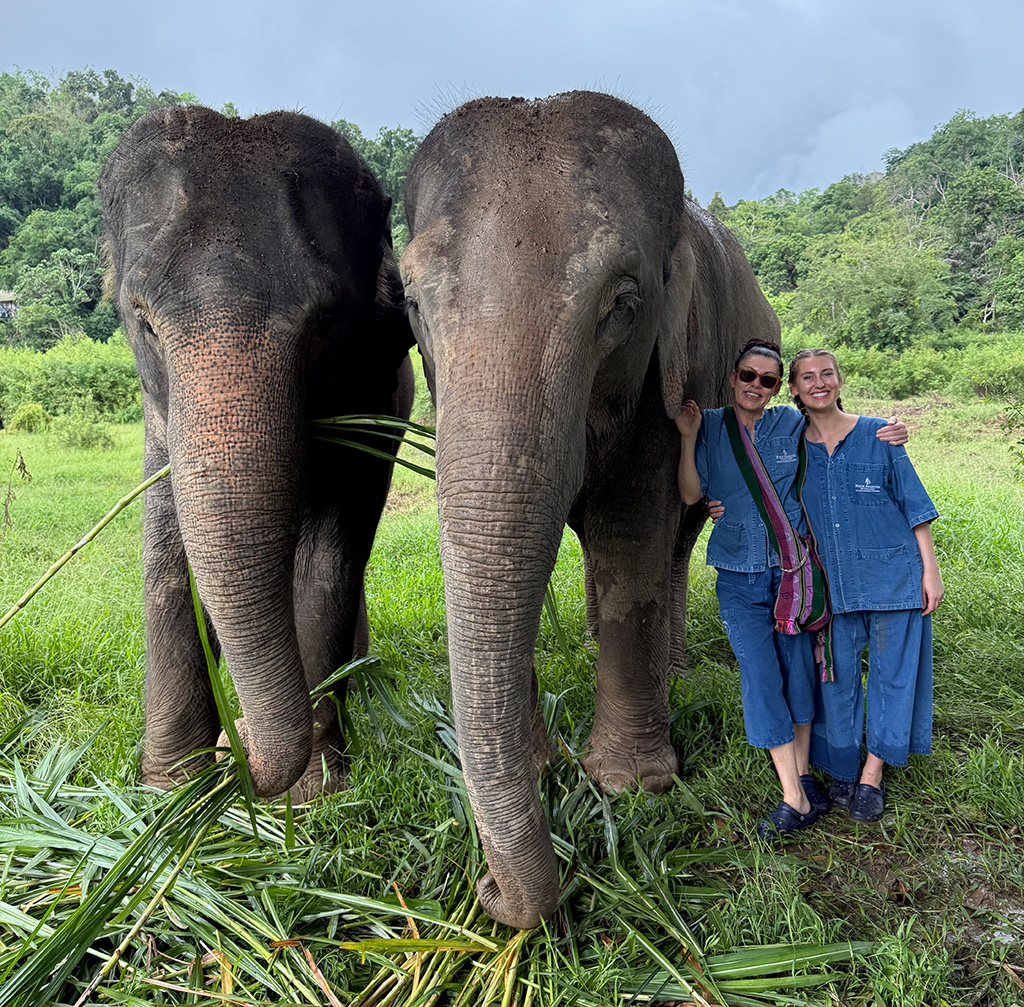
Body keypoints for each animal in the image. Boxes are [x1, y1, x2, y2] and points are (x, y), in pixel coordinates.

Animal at [100, 106, 414, 801]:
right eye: (145, 324)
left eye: (323, 326)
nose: (234, 743)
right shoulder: (160, 414)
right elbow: (169, 551)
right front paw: (171, 789)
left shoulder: (377, 395)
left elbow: (329, 556)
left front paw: (315, 790)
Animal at [400, 91, 779, 928]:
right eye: (409, 302)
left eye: (625, 303)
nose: (489, 892)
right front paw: (549, 764)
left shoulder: (673, 377)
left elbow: (629, 534)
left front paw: (629, 785)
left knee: (675, 544)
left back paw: (675, 663)